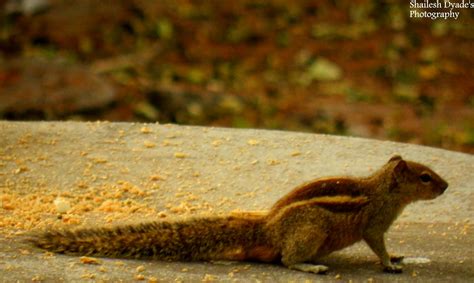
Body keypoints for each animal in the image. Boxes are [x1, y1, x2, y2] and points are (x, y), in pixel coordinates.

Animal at [28, 156, 448, 274]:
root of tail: (266, 228)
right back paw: (310, 266)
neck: (382, 189)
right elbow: (377, 244)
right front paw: (390, 264)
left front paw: (397, 256)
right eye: (425, 177)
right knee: (286, 259)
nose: (446, 186)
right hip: (310, 230)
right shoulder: (376, 223)